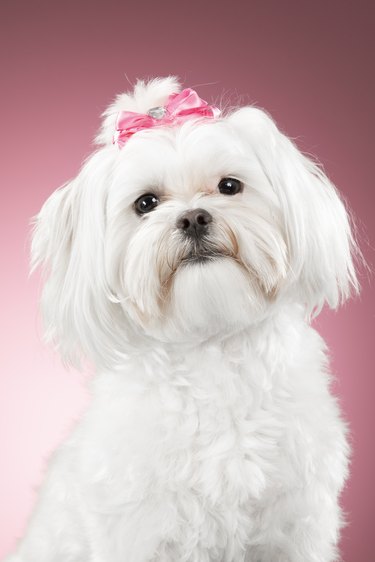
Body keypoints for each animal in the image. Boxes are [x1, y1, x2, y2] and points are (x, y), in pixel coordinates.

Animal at [5, 75, 358, 560]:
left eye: (229, 186)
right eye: (146, 203)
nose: (193, 218)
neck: (212, 348)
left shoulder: (294, 524)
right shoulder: (146, 531)